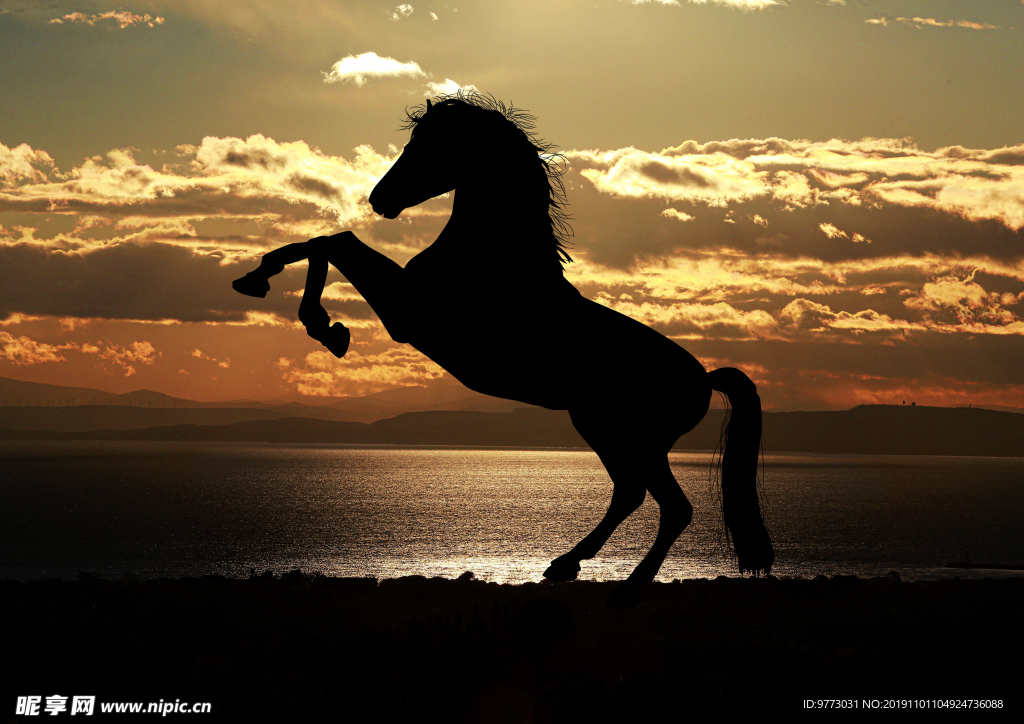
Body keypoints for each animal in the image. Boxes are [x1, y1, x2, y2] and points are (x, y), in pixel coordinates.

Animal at [232, 92, 773, 607]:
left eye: (431, 145)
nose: (379, 198)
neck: (492, 258)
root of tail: (703, 378)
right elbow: (325, 240)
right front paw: (264, 284)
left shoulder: (408, 314)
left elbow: (334, 242)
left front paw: (320, 323)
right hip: (602, 428)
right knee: (630, 493)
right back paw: (565, 565)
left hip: (632, 436)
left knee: (671, 507)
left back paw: (626, 588)